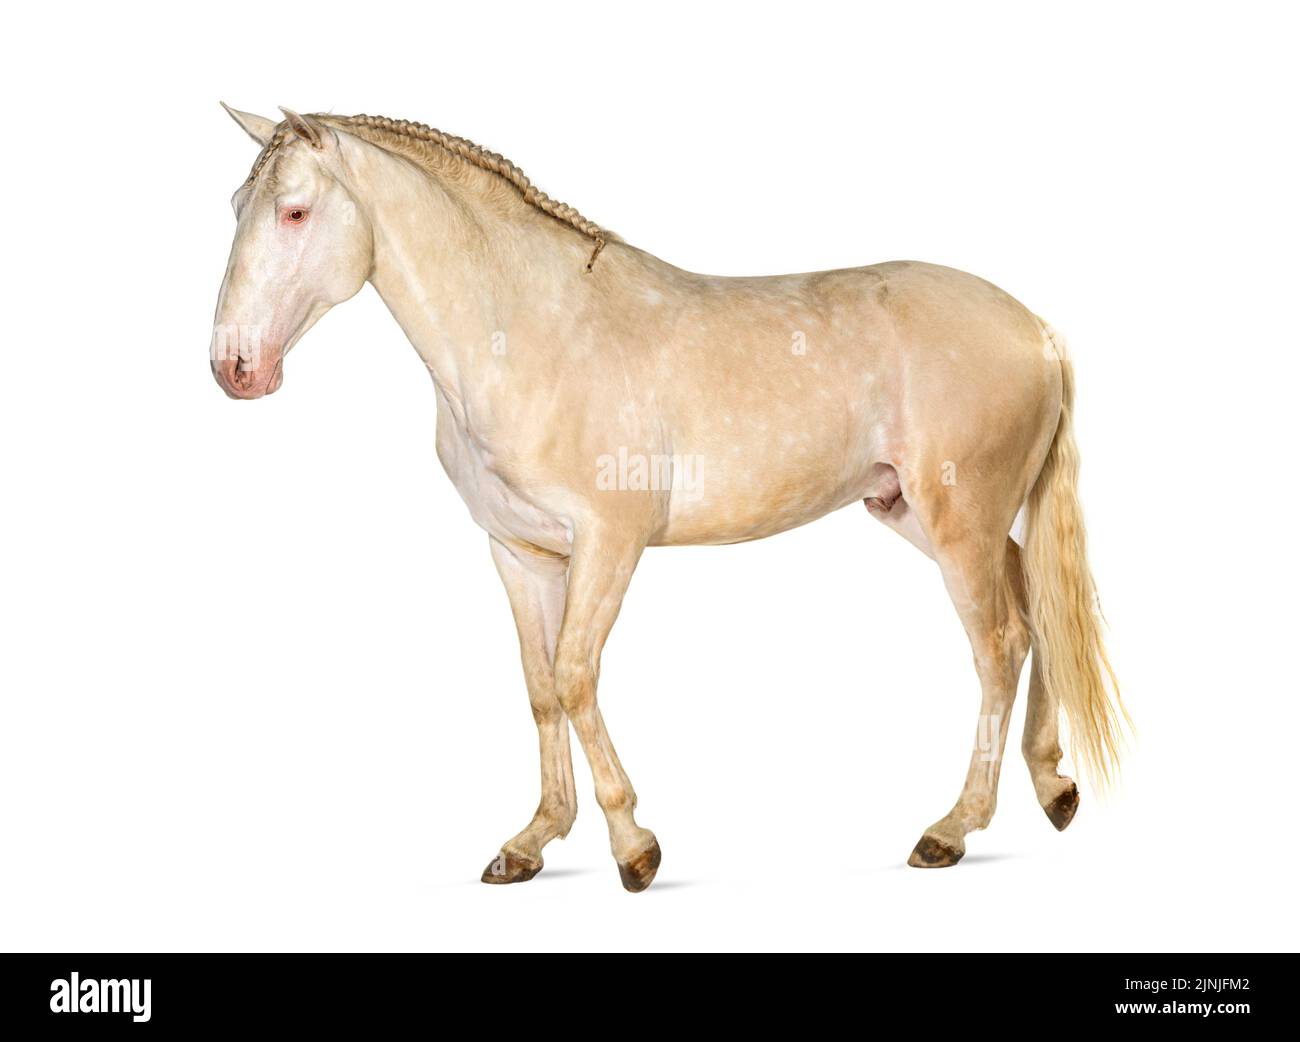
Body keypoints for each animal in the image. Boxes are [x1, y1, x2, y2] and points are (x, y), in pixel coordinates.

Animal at [208, 103, 1123, 883]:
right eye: (237, 204)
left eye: (294, 212)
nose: (234, 368)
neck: (531, 332)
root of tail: (1036, 330)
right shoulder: (520, 552)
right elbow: (539, 686)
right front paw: (531, 843)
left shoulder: (610, 542)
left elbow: (576, 677)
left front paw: (633, 847)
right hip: (921, 515)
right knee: (1036, 608)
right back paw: (1055, 789)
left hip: (960, 520)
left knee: (999, 645)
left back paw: (952, 830)